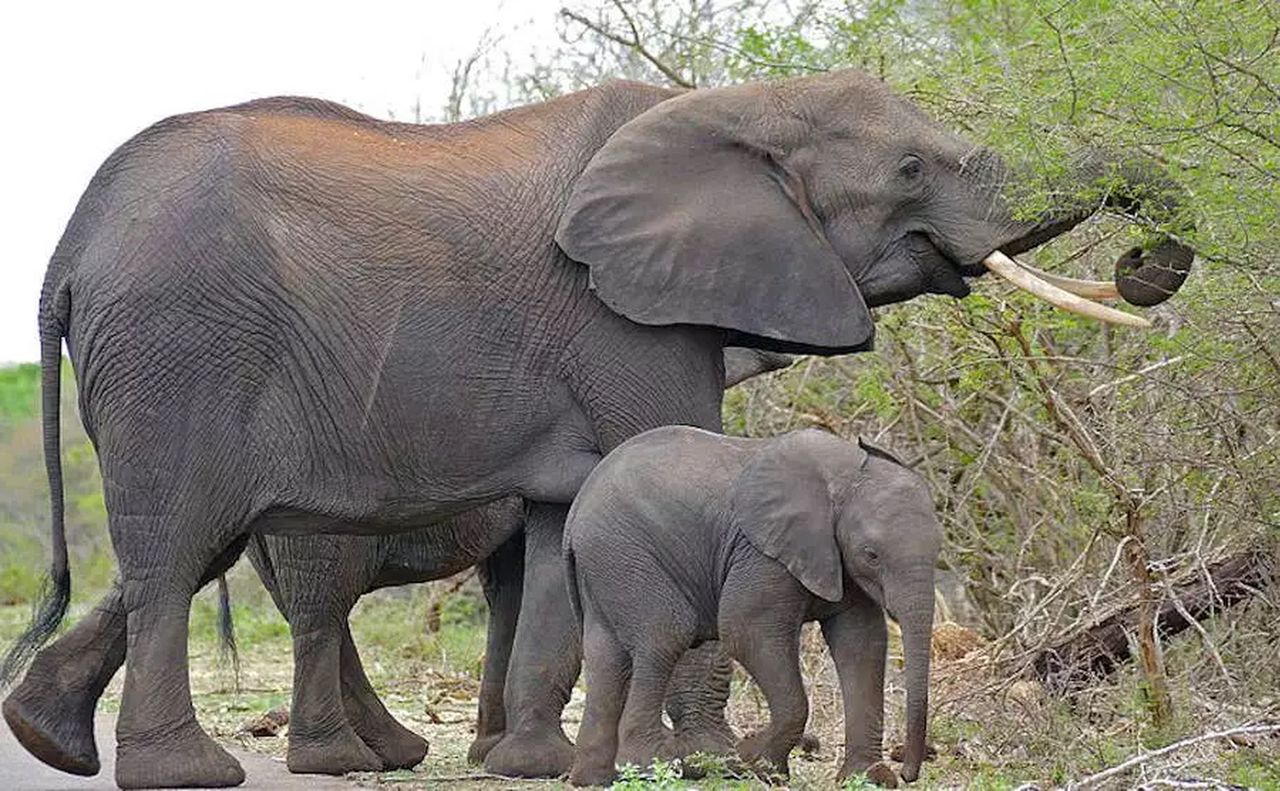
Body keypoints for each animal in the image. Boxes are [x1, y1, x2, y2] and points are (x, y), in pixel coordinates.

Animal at [563, 424, 942, 783]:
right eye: (871, 554)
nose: (909, 773)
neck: (845, 477)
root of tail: (576, 512)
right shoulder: (761, 553)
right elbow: (747, 631)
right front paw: (755, 763)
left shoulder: (836, 560)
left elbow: (862, 642)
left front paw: (870, 778)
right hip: (627, 555)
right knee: (665, 637)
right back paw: (650, 766)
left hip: (606, 567)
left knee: (606, 655)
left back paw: (595, 778)